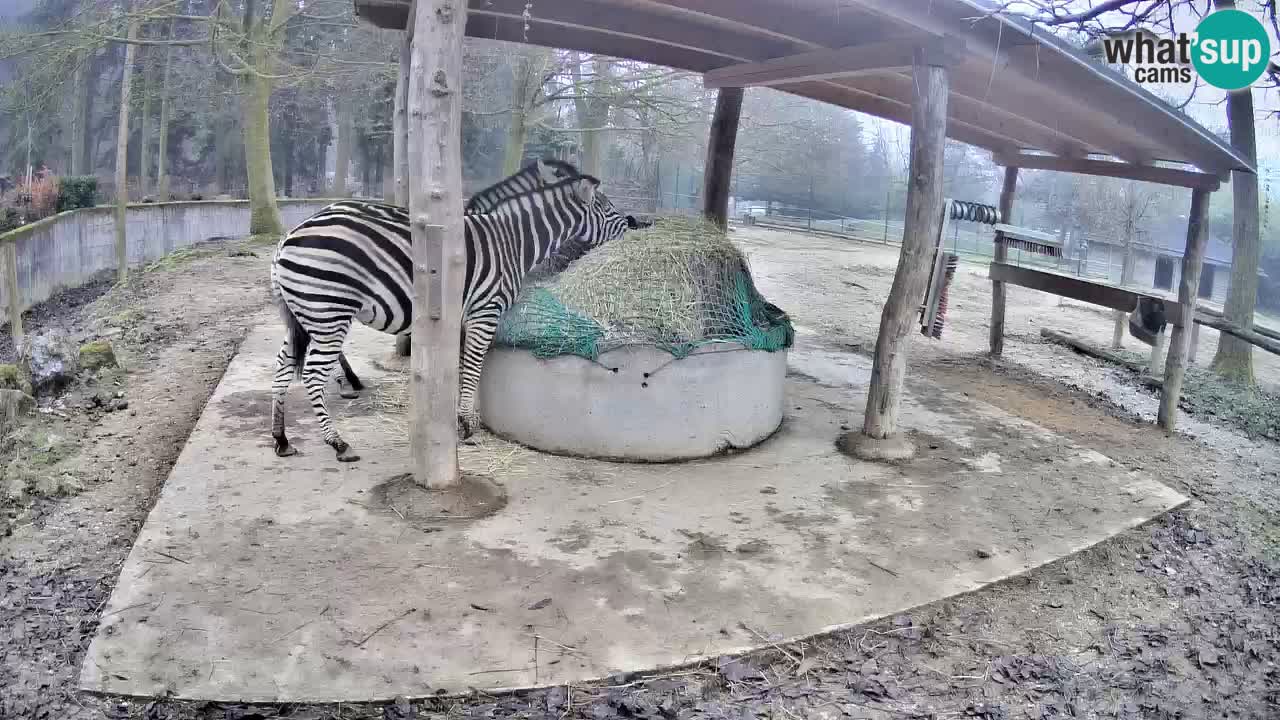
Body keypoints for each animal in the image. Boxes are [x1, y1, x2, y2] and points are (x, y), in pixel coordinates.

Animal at [270, 167, 635, 462]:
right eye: (608, 209)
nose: (635, 225)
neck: (512, 242)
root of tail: (288, 237)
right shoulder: (485, 312)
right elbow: (473, 368)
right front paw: (466, 425)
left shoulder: (460, 320)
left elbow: (461, 369)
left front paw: (457, 417)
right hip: (329, 311)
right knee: (312, 374)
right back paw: (338, 442)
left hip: (303, 316)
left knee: (283, 367)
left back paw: (281, 439)